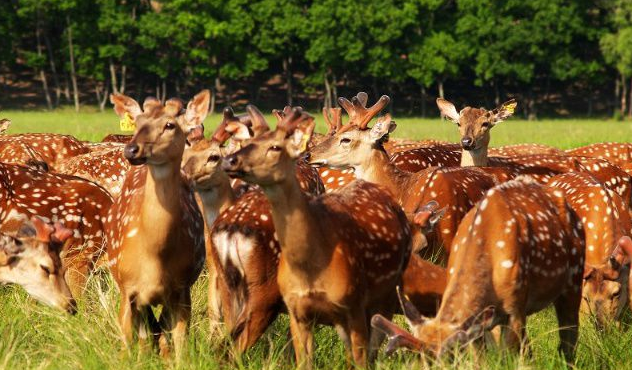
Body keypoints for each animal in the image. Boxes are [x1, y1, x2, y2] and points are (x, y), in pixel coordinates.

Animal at [106, 93, 207, 358]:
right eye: (138, 122)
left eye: (170, 125)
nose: (131, 149)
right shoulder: (127, 287)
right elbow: (126, 343)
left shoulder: (182, 287)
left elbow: (180, 343)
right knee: (146, 335)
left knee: (160, 334)